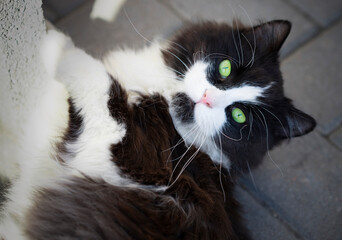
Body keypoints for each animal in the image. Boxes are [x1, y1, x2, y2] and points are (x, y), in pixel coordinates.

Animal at [0, 19, 316, 240]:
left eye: (238, 117)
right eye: (225, 69)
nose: (207, 98)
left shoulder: (120, 154)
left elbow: (102, 82)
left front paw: (54, 43)